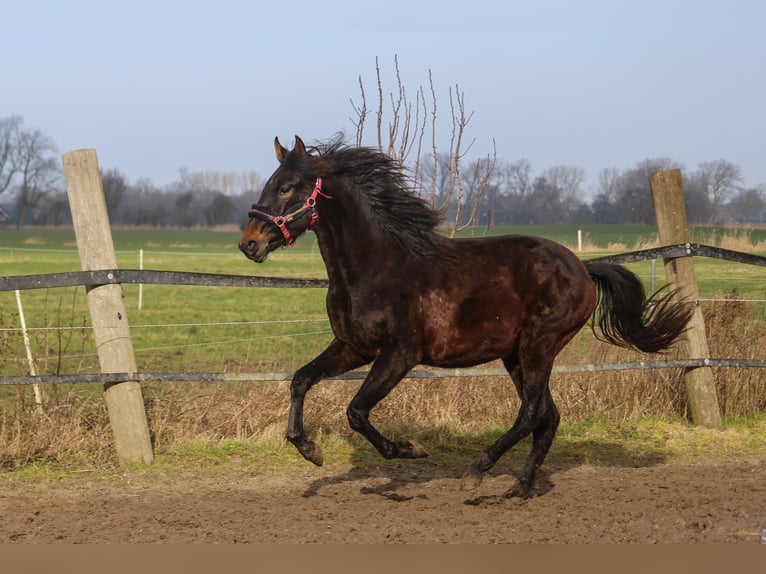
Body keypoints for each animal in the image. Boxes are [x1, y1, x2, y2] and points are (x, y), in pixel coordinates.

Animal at [237, 136, 692, 500]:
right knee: (548, 416)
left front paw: (408, 449)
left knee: (531, 413)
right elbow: (300, 380)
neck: (377, 266)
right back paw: (518, 489)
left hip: (539, 345)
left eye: (286, 187)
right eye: (270, 184)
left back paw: (478, 471)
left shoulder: (399, 354)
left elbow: (357, 412)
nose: (249, 243)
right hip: (515, 355)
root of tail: (582, 267)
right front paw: (310, 450)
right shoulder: (353, 348)